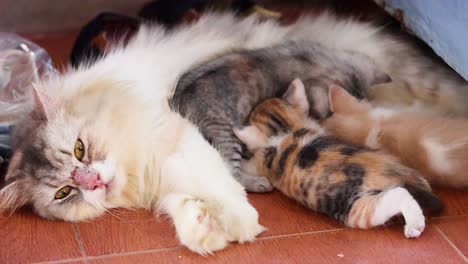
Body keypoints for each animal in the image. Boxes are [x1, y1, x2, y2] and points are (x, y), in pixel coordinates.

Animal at [234, 79, 442, 238]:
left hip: (358, 209)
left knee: (399, 194)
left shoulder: (262, 161)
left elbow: (249, 163)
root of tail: (399, 174)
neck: (289, 129)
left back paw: (414, 225)